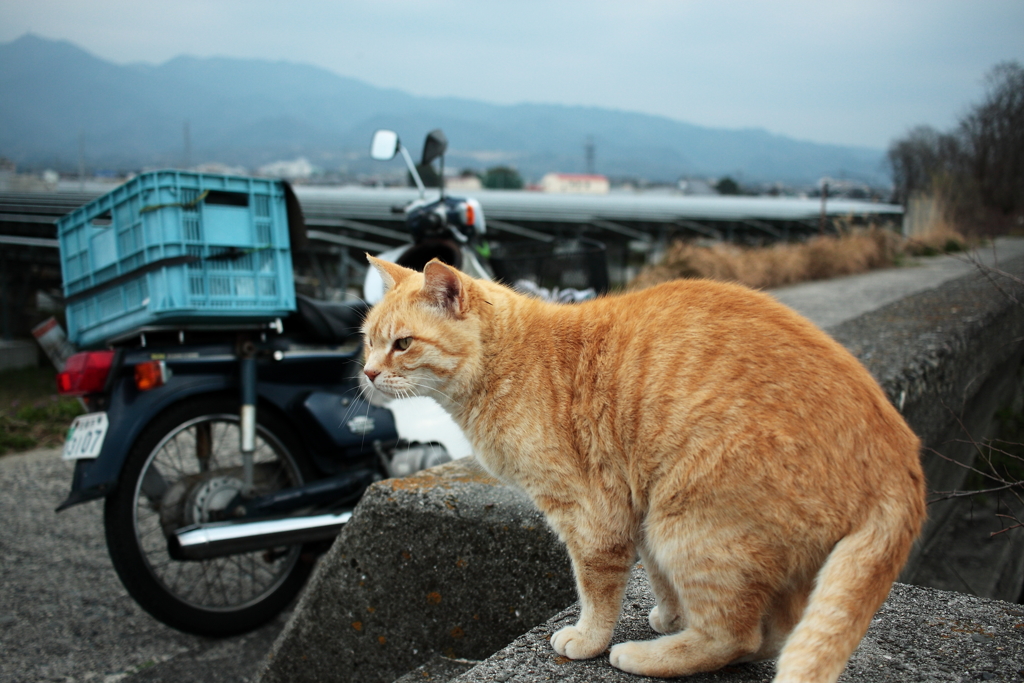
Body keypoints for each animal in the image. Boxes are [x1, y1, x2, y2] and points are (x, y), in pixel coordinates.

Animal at [362, 258, 929, 683]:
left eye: (403, 344)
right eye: (368, 340)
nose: (366, 373)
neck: (511, 363)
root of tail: (900, 456)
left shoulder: (592, 515)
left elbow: (596, 590)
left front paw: (589, 640)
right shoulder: (637, 502)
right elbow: (656, 575)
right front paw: (669, 614)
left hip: (691, 524)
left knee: (734, 635)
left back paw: (642, 657)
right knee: (774, 635)